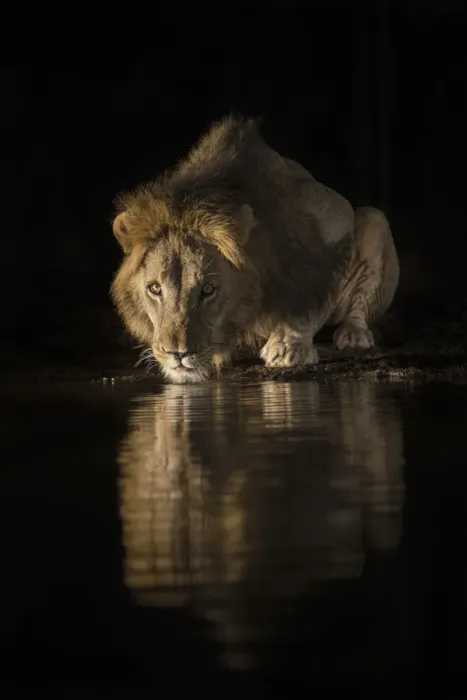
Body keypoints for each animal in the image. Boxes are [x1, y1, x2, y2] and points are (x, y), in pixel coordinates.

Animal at [110, 115, 399, 383]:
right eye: (154, 289)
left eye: (208, 290)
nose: (178, 354)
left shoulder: (334, 222)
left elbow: (311, 297)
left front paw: (287, 346)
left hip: (374, 219)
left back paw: (353, 333)